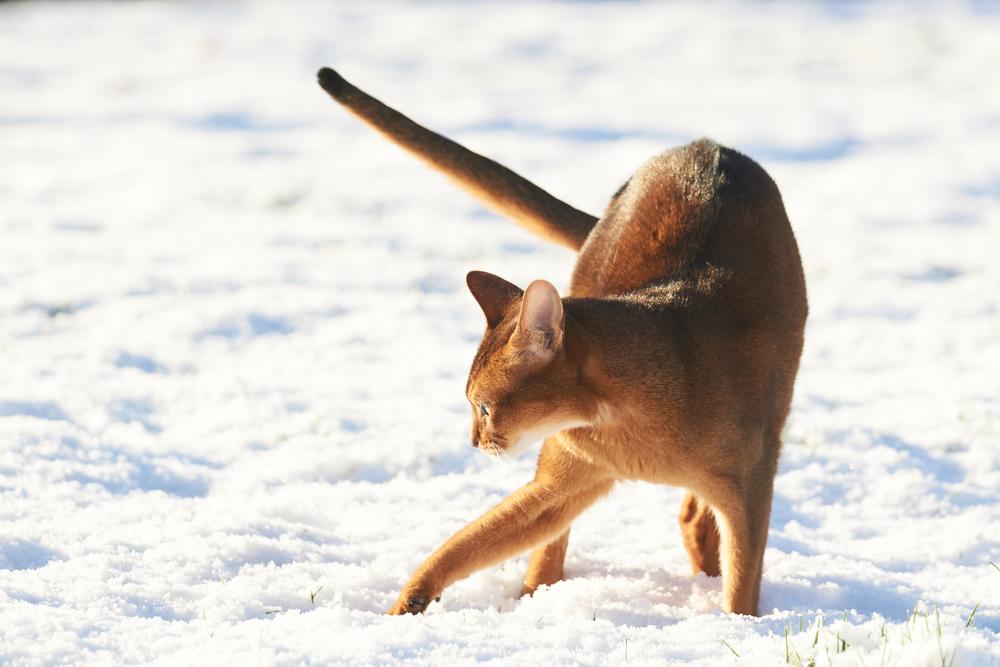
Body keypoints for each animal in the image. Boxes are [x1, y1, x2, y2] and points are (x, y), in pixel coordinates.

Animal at [316, 66, 808, 616]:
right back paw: (539, 596)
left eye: (483, 407)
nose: (474, 442)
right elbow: (470, 541)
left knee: (694, 521)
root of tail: (706, 146)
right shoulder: (568, 476)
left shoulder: (750, 486)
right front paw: (407, 604)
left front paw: (738, 626)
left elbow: (743, 580)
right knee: (574, 541)